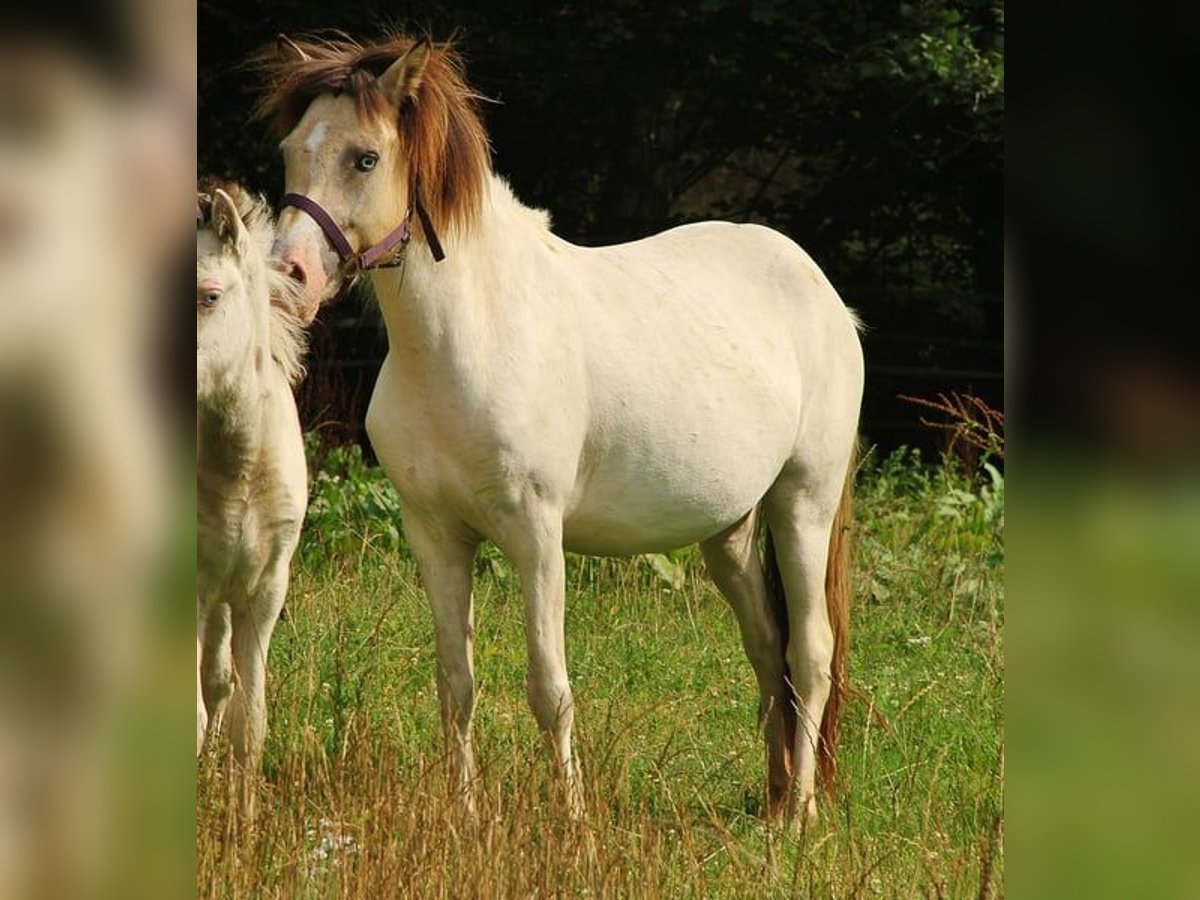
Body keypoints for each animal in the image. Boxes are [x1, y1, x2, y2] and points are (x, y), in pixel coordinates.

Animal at [260, 35, 864, 825]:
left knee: (811, 655)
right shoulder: (435, 535)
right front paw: (464, 817)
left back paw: (797, 817)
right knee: (768, 652)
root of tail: (824, 293)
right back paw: (771, 800)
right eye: (291, 151)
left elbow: (550, 688)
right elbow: (455, 684)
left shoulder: (536, 536)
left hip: (803, 504)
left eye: (364, 158)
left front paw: (572, 823)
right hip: (729, 532)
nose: (289, 277)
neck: (471, 334)